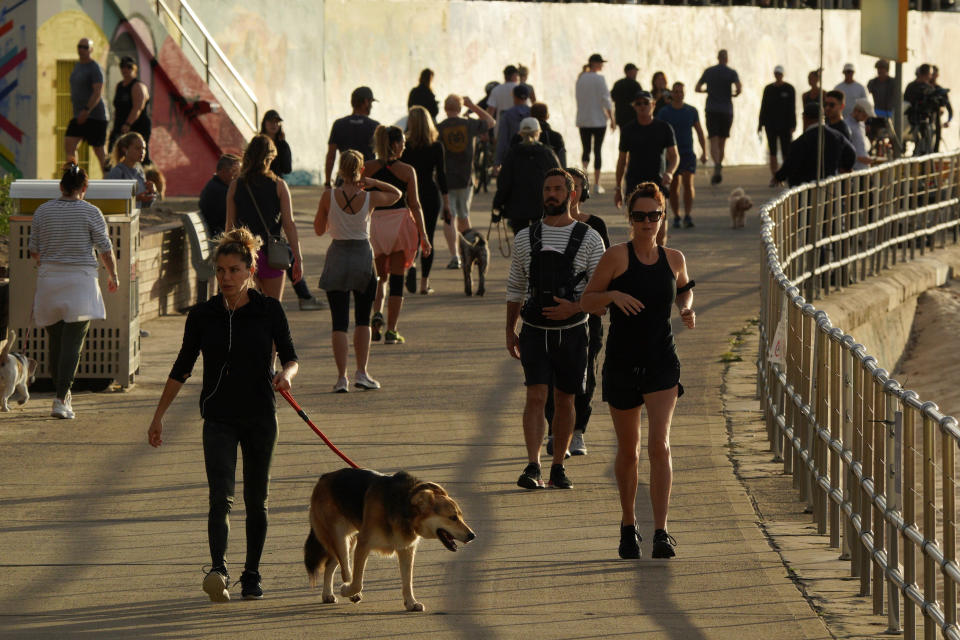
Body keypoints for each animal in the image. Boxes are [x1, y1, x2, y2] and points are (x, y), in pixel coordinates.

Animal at [306, 468, 474, 612]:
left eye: (460, 516)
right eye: (453, 518)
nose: (473, 536)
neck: (404, 507)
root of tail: (324, 477)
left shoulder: (406, 550)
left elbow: (407, 581)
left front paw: (411, 603)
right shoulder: (363, 544)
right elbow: (358, 581)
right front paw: (349, 590)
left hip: (347, 542)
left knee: (331, 564)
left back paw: (327, 594)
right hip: (341, 538)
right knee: (345, 570)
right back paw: (349, 593)